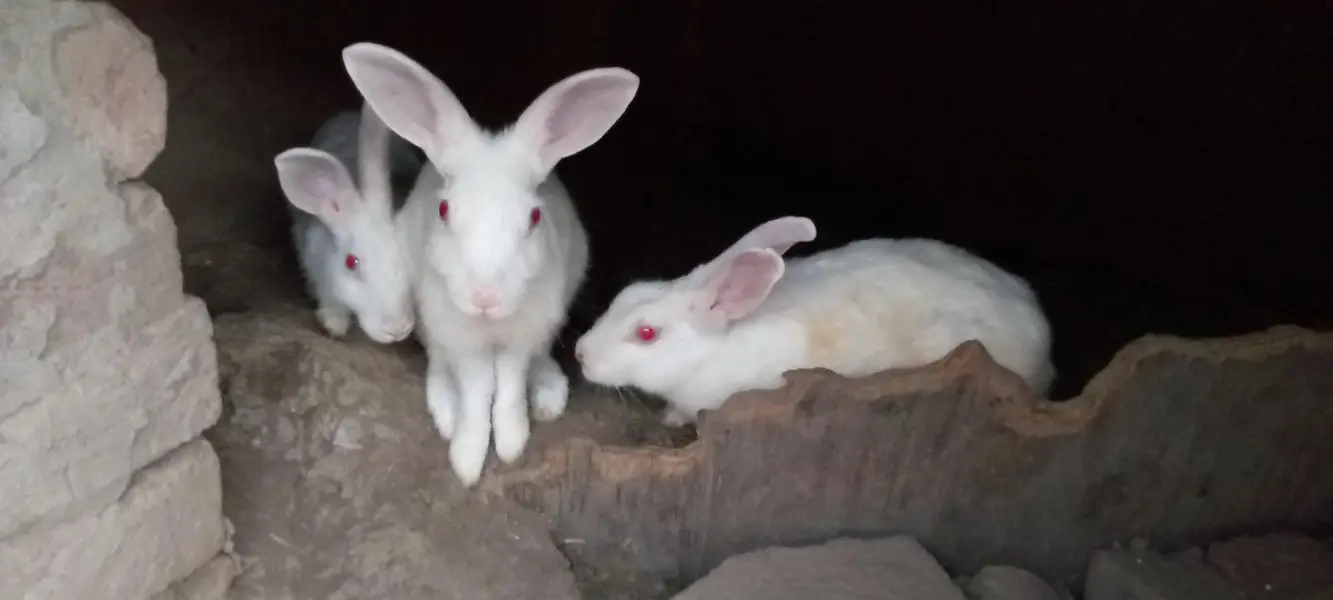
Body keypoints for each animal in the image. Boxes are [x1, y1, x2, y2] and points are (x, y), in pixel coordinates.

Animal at [341, 42, 639, 486]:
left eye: (534, 216)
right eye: (445, 210)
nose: (484, 297)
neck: (489, 325)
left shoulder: (522, 335)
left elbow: (510, 386)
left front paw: (512, 442)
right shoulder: (463, 340)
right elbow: (478, 390)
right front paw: (467, 459)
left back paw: (549, 394)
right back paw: (445, 408)